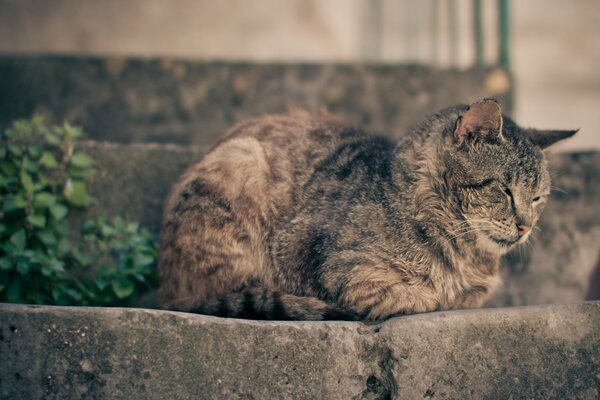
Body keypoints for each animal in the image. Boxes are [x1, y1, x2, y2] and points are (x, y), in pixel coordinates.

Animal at [156, 100, 576, 322]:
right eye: (504, 190)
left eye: (538, 198)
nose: (525, 226)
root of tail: (167, 287)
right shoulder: (347, 269)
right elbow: (421, 296)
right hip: (242, 159)